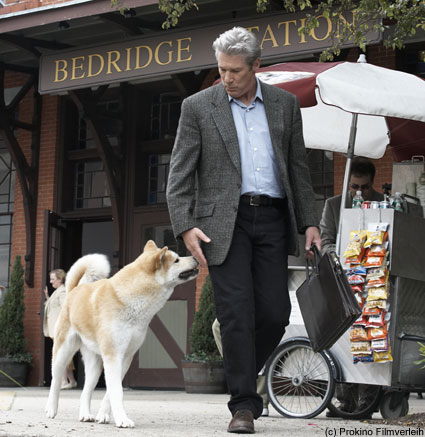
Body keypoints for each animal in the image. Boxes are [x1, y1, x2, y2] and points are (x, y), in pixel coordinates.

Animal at [45, 238, 198, 426]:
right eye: (176, 260)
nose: (195, 257)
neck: (130, 299)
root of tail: (74, 290)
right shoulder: (113, 355)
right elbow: (116, 391)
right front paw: (122, 419)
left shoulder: (125, 357)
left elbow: (111, 392)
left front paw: (104, 415)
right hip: (62, 351)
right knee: (55, 381)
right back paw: (51, 409)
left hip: (95, 364)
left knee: (86, 391)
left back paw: (85, 414)